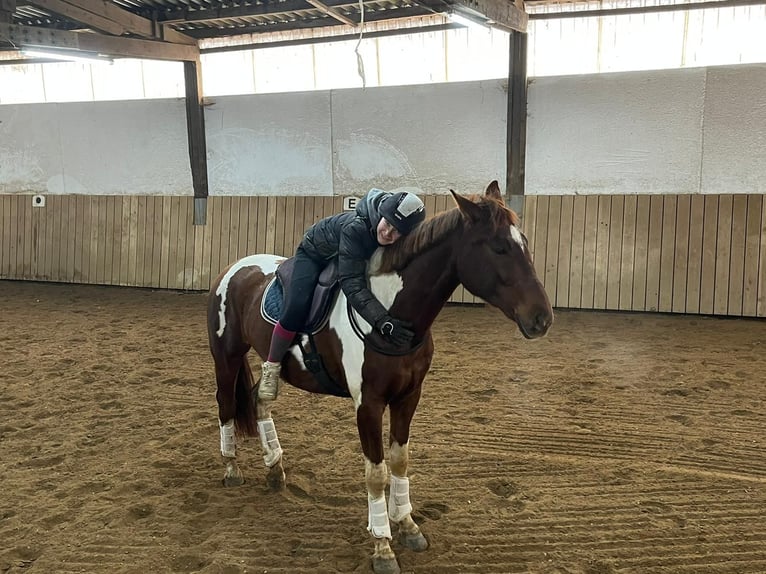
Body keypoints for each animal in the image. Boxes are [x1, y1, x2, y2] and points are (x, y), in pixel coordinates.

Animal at [206, 181, 553, 574]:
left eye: (524, 241)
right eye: (498, 247)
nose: (541, 317)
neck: (388, 313)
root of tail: (234, 269)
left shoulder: (408, 397)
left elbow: (399, 461)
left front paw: (407, 525)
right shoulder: (368, 405)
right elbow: (376, 473)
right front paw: (382, 546)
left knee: (260, 399)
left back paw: (275, 469)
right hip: (226, 357)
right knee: (226, 405)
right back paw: (231, 468)